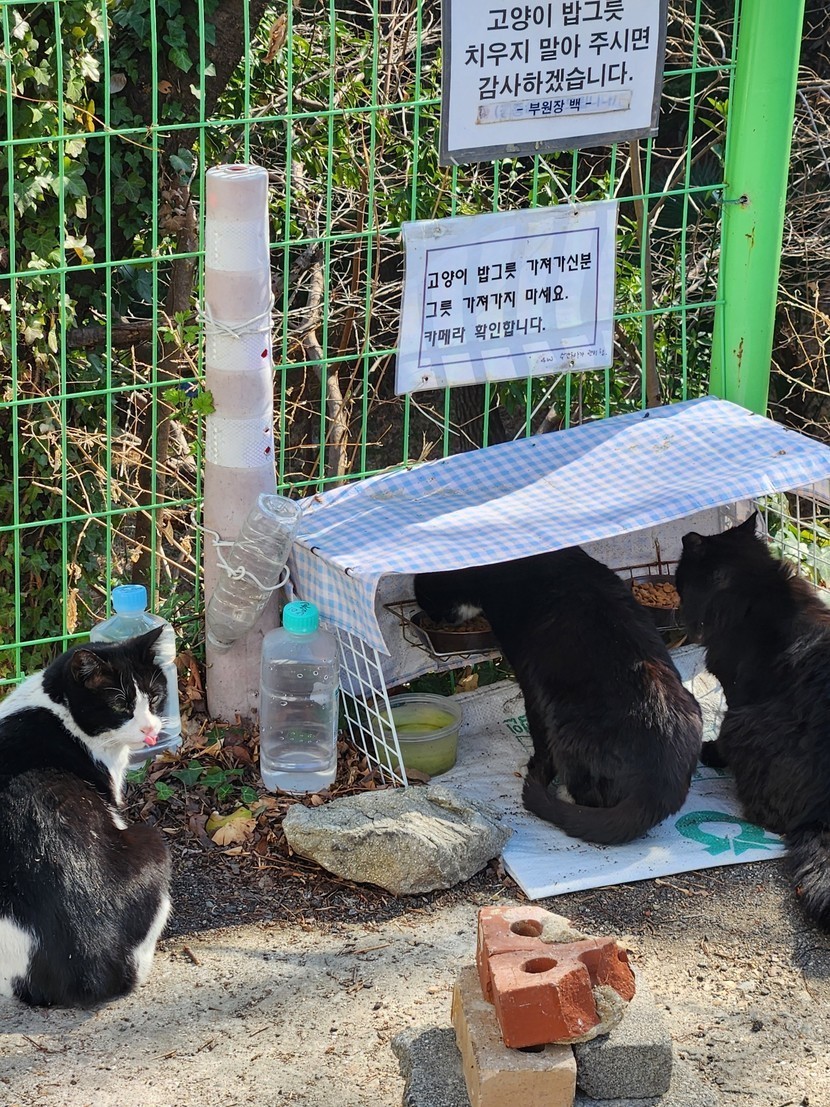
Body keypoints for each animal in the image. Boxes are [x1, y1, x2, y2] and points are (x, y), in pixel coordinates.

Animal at [0, 628, 173, 1006]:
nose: (150, 729)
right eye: (121, 705)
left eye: (154, 697)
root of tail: (91, 964)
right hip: (153, 839)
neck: (58, 708)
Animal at [415, 547, 703, 844]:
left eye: (425, 593)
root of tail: (660, 784)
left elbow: (539, 737)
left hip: (565, 723)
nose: (431, 616)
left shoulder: (532, 683)